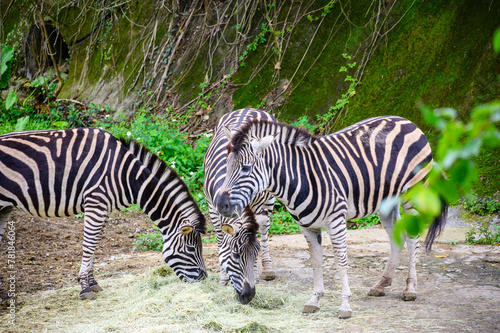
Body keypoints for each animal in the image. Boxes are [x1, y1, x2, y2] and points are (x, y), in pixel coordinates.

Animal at [0, 126, 207, 298]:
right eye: (191, 248)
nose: (204, 278)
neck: (126, 175)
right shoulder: (96, 202)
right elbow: (89, 245)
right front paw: (85, 288)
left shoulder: (103, 208)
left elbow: (96, 244)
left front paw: (93, 283)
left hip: (4, 207)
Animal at [203, 108, 278, 304]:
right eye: (235, 255)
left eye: (255, 253)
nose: (249, 295)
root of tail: (251, 108)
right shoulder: (212, 207)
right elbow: (221, 240)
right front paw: (223, 277)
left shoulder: (256, 207)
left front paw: (256, 273)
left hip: (269, 198)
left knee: (265, 230)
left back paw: (267, 269)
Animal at [213, 115, 448, 318]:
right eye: (227, 165)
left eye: (245, 168)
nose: (221, 204)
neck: (301, 177)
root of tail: (408, 121)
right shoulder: (307, 227)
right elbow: (316, 262)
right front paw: (314, 300)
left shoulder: (336, 221)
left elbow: (341, 261)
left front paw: (345, 305)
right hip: (385, 204)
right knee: (395, 239)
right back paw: (382, 284)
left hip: (414, 195)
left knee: (412, 239)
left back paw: (410, 288)